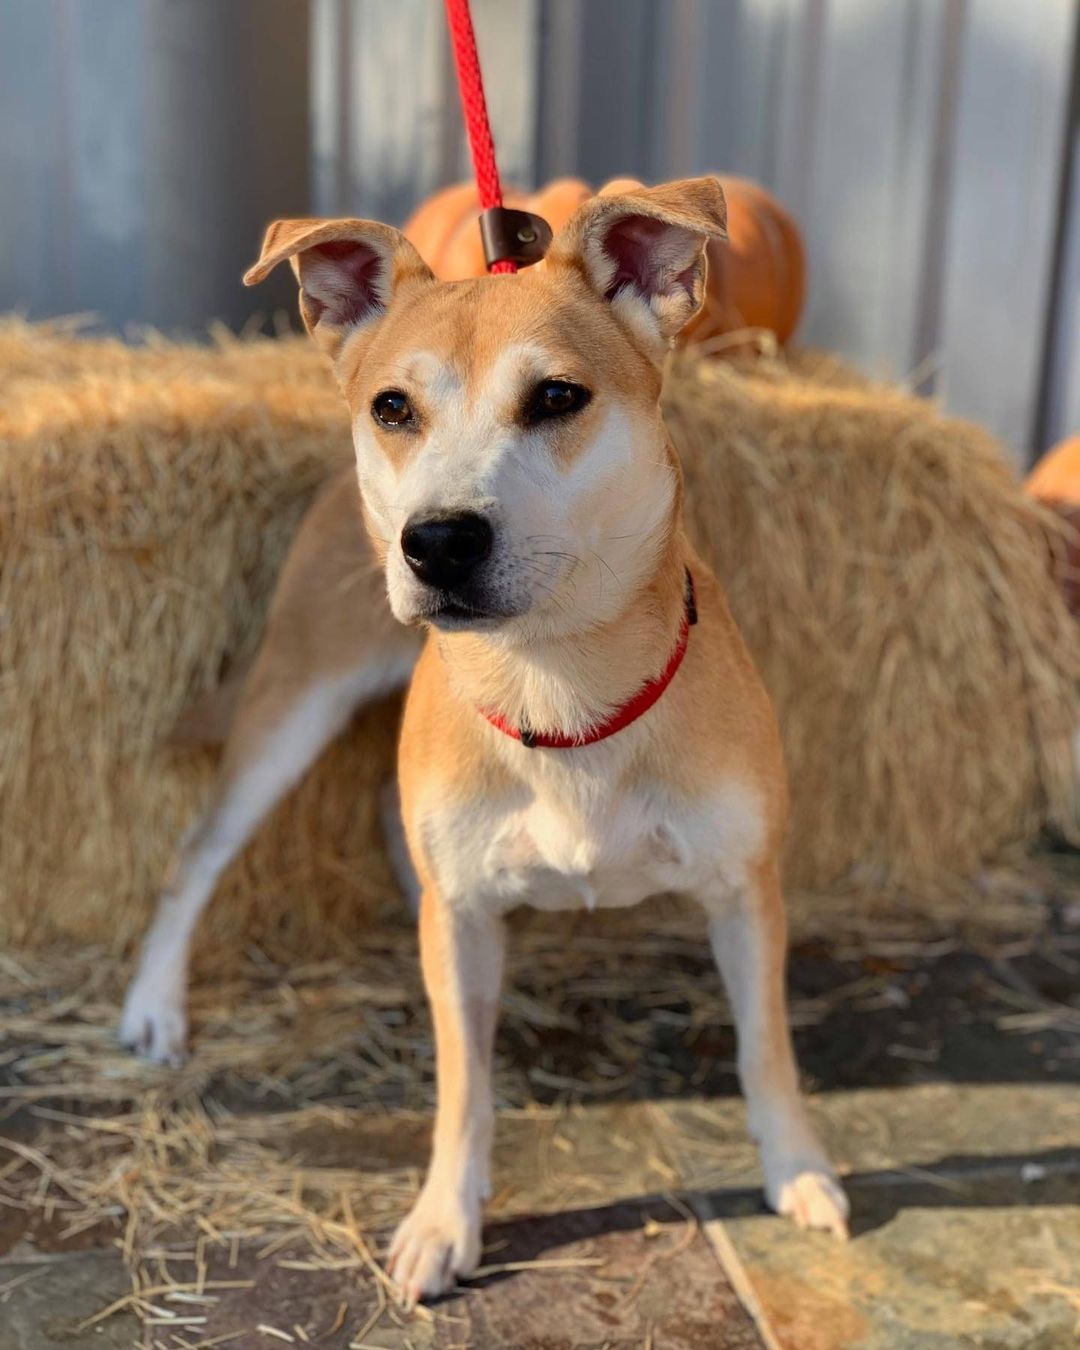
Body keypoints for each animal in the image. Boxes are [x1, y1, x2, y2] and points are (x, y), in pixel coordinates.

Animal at [122, 176, 847, 1296]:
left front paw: (797, 1167)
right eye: (394, 409)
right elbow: (462, 1084)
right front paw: (443, 1219)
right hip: (291, 705)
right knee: (199, 854)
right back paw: (155, 1002)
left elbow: (765, 1044)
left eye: (555, 398)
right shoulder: (459, 925)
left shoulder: (745, 887)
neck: (555, 683)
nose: (436, 541)